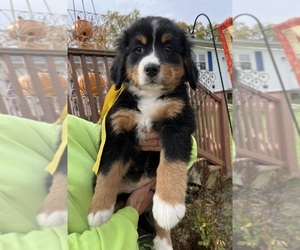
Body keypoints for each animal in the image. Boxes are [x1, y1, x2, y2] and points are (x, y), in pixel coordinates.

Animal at [89, 16, 199, 249]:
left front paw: (169, 206)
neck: (149, 97)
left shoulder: (178, 124)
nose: (151, 69)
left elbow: (172, 163)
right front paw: (98, 212)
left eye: (168, 49)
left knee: (155, 217)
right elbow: (107, 171)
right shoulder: (115, 133)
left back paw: (164, 241)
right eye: (138, 49)